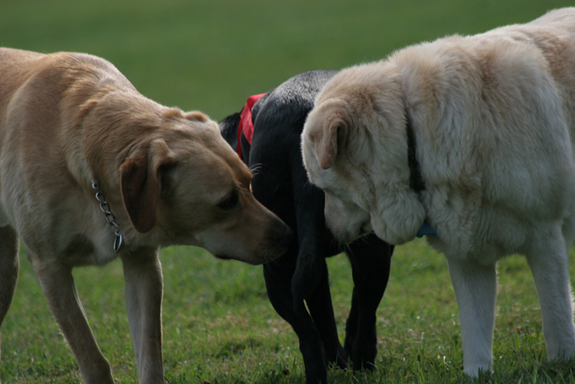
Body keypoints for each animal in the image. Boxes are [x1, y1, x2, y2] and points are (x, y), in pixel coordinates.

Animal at [218, 70, 394, 384]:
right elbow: (345, 309)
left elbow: (328, 312)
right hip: (364, 251)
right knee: (359, 315)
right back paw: (361, 363)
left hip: (282, 264)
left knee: (308, 329)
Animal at [302, 7, 575, 376]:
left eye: (324, 188)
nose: (327, 232)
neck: (414, 135)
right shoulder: (467, 256)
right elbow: (475, 331)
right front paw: (477, 375)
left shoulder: (545, 239)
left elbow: (557, 320)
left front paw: (562, 364)